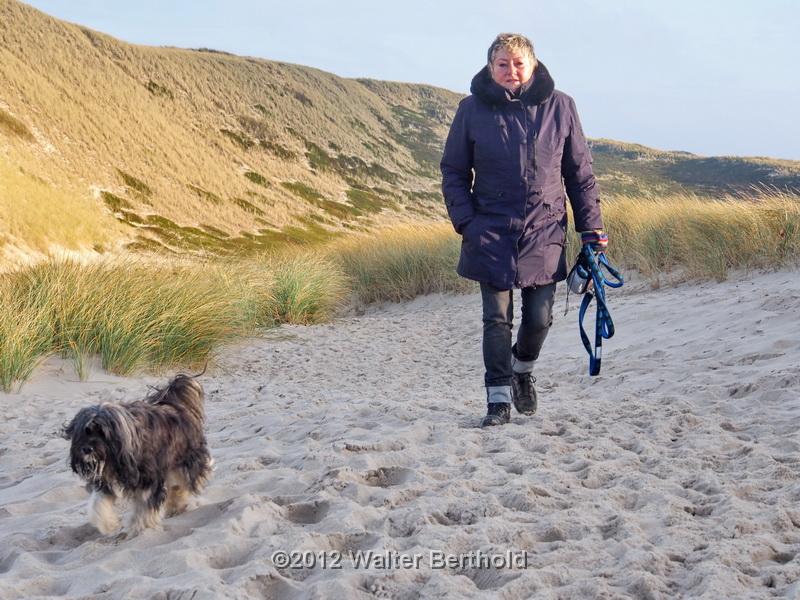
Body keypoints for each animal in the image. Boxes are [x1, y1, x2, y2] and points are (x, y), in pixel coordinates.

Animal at [62, 376, 212, 536]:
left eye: (102, 433)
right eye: (85, 432)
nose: (86, 449)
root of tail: (176, 405)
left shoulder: (148, 480)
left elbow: (145, 506)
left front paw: (141, 527)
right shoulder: (106, 482)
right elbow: (98, 504)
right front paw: (108, 525)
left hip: (186, 460)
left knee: (188, 480)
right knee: (177, 486)